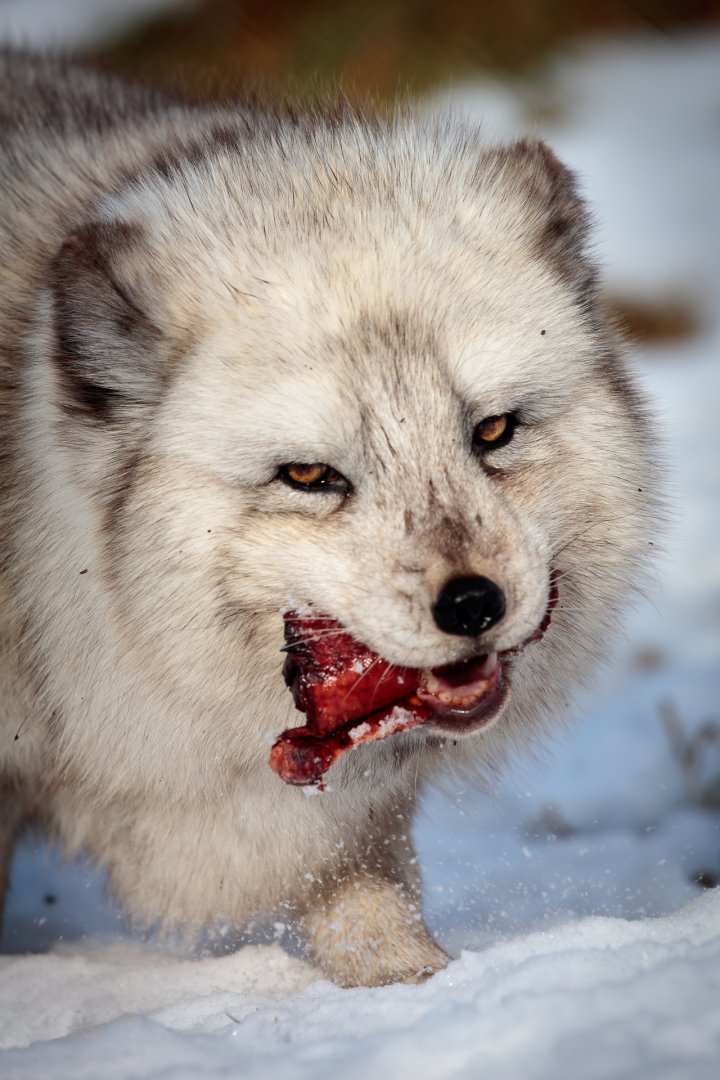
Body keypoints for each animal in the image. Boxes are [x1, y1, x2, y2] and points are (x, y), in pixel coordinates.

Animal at [0, 51, 657, 987]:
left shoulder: (337, 827)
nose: (473, 606)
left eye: (493, 432)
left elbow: (367, 898)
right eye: (310, 475)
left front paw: (417, 986)